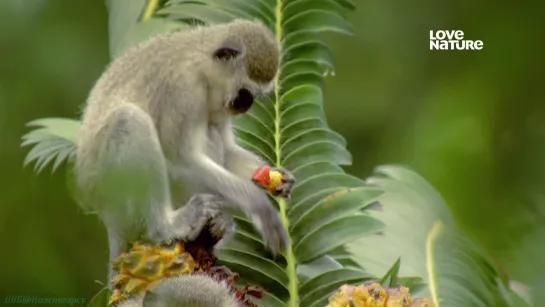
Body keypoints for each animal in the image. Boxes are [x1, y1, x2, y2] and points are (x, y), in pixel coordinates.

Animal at [74, 18, 294, 284]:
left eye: (253, 97)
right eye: (244, 94)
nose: (246, 106)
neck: (202, 64)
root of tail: (108, 217)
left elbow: (227, 150)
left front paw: (275, 177)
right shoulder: (183, 89)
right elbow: (181, 157)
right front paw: (259, 205)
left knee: (211, 132)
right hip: (116, 191)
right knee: (131, 122)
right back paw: (166, 227)